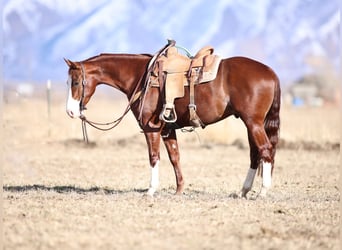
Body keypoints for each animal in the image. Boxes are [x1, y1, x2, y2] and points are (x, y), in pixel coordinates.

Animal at [64, 48, 280, 198]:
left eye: (75, 82)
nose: (70, 111)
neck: (141, 77)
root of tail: (271, 72)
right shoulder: (168, 129)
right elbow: (174, 157)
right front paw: (179, 189)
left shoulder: (150, 128)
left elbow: (154, 157)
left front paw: (151, 190)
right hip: (251, 124)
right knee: (255, 154)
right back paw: (243, 191)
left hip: (253, 123)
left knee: (265, 150)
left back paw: (263, 191)